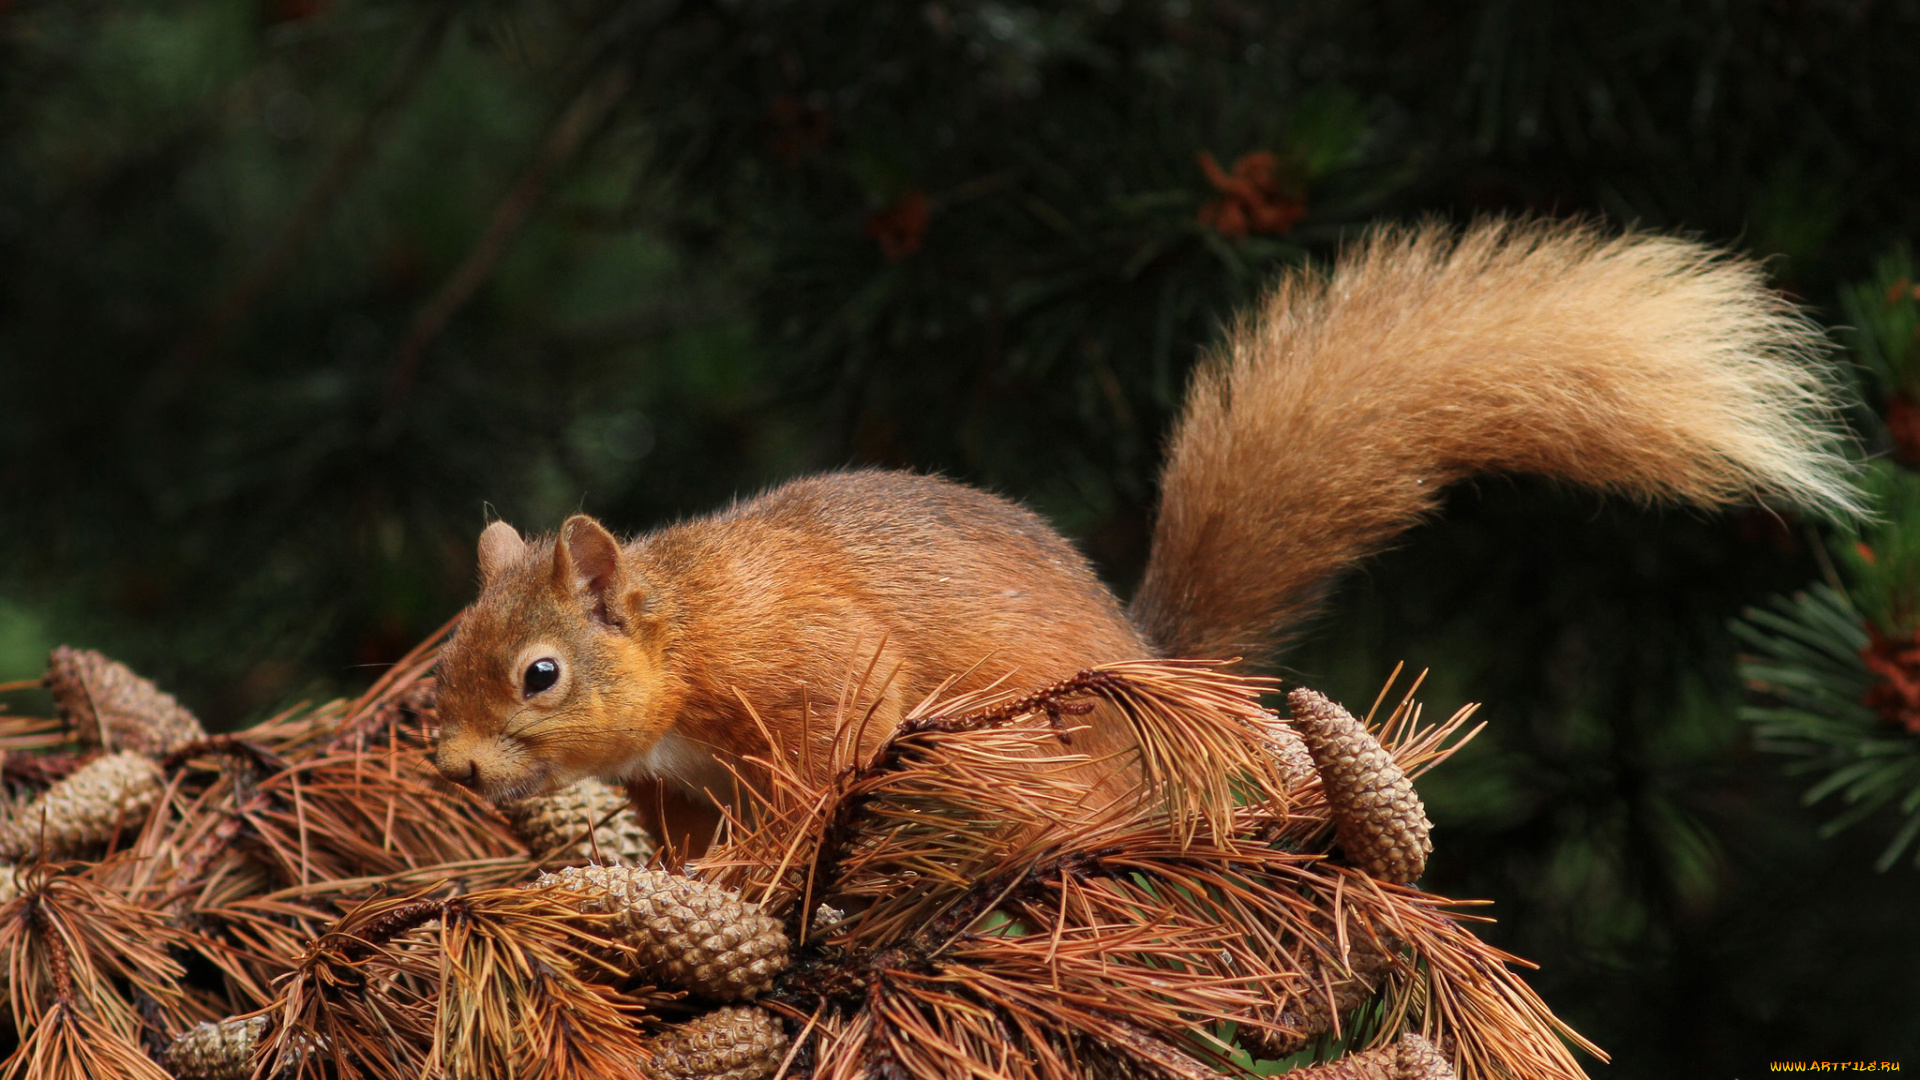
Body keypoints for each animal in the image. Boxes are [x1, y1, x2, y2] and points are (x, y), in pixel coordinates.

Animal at [432, 216, 1858, 841]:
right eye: (446, 663)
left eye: (540, 673)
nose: (448, 768)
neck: (691, 625)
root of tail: (1161, 668)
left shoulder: (815, 671)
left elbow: (819, 769)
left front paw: (763, 878)